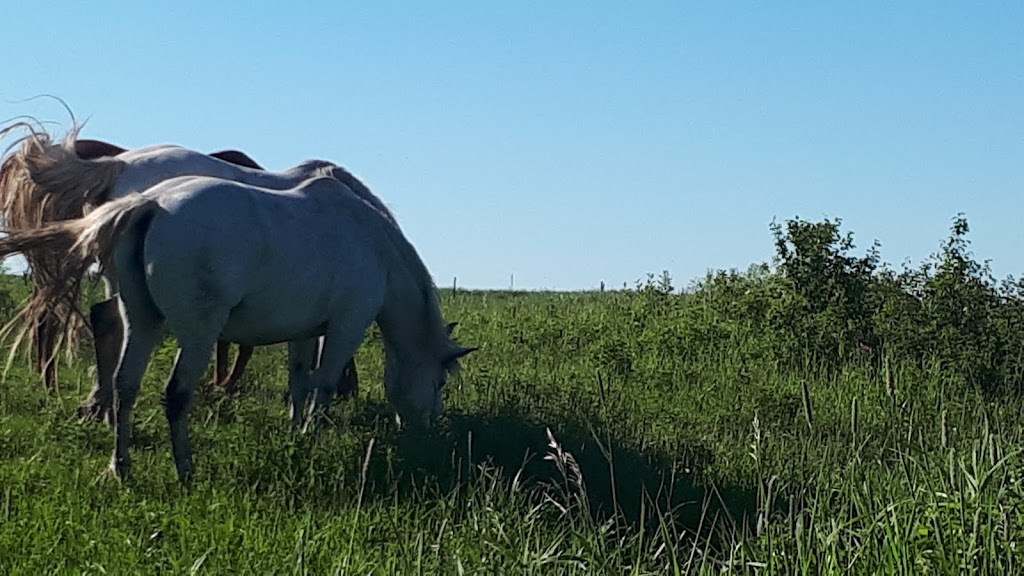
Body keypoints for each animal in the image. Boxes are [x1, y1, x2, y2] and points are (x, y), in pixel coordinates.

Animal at [0, 172, 475, 477]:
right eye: (439, 382)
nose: (427, 431)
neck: (371, 244)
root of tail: (151, 204)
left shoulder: (305, 332)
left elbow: (299, 380)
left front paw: (295, 432)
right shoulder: (346, 327)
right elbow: (323, 384)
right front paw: (313, 434)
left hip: (144, 323)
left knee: (124, 386)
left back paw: (122, 468)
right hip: (197, 334)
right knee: (176, 394)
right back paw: (185, 470)